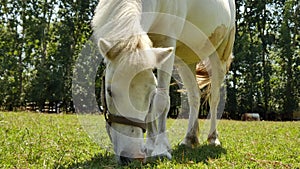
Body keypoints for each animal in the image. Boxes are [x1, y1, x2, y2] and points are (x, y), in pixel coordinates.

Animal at [91, 0, 234, 164]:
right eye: (109, 91)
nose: (132, 156)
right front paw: (149, 146)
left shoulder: (167, 43)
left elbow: (161, 101)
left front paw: (161, 149)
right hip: (186, 62)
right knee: (194, 96)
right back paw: (189, 138)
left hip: (219, 55)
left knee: (214, 98)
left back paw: (213, 138)